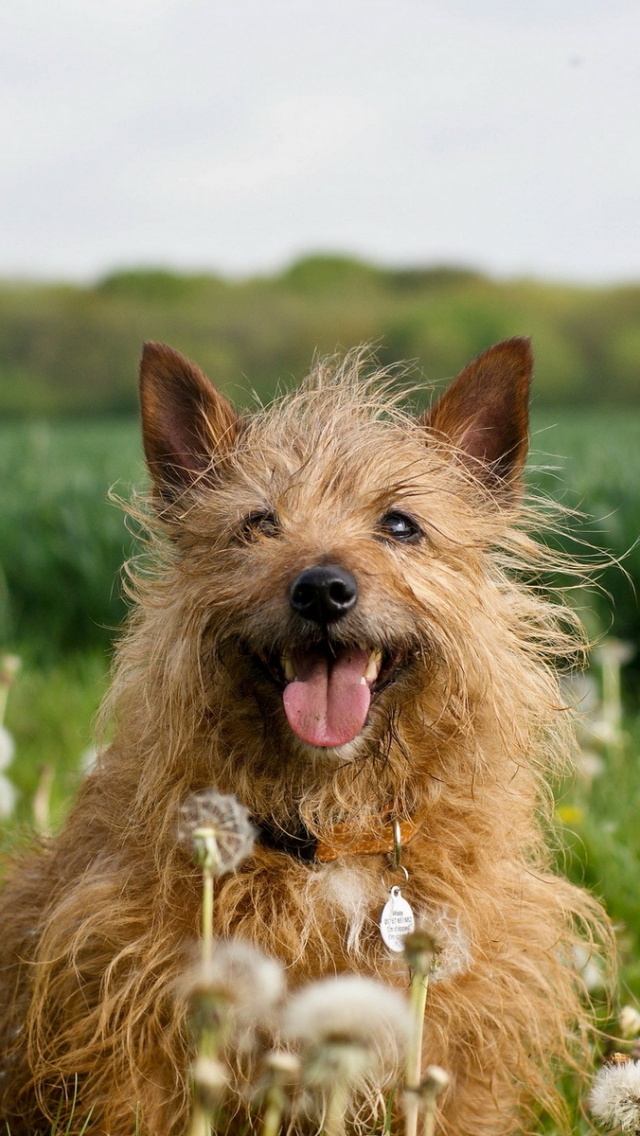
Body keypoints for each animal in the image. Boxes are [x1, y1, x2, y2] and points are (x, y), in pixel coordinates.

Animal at [0, 338, 609, 1136]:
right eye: (259, 523)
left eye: (401, 524)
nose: (322, 588)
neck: (330, 828)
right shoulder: (134, 1043)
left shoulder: (464, 1057)